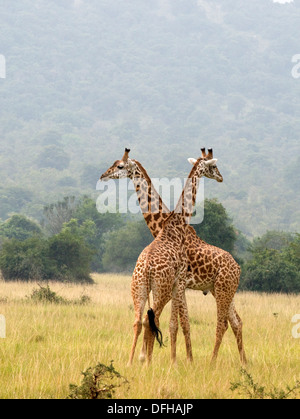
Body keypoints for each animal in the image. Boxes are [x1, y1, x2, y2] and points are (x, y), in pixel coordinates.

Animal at [101, 148, 246, 364]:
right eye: (214, 166)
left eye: (119, 165)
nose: (103, 175)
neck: (166, 223)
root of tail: (237, 266)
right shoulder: (180, 285)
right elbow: (179, 323)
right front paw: (182, 359)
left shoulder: (180, 284)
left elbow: (178, 323)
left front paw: (181, 360)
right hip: (220, 290)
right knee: (235, 321)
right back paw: (241, 362)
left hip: (221, 290)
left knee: (225, 322)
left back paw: (218, 363)